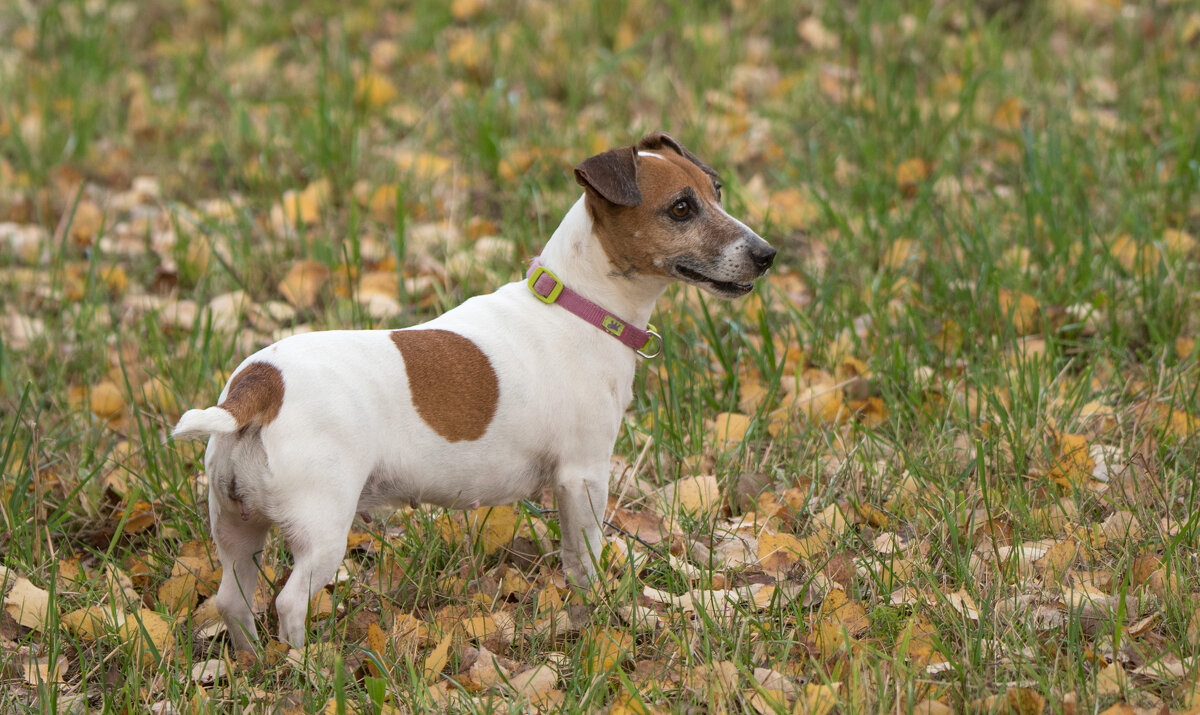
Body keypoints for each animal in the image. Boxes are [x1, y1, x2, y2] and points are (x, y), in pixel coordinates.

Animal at [175, 131, 777, 652]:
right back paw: (307, 670)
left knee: (233, 601)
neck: (578, 305)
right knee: (289, 603)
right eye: (680, 208)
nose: (767, 254)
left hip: (236, 528)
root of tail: (260, 384)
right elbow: (583, 562)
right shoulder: (582, 476)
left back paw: (254, 662)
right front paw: (598, 616)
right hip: (321, 531)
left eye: (715, 191)